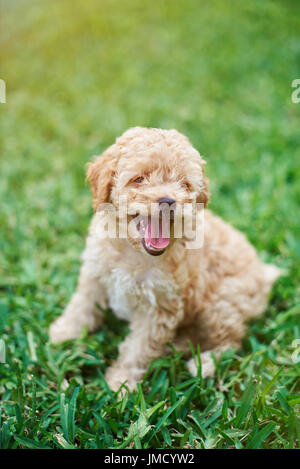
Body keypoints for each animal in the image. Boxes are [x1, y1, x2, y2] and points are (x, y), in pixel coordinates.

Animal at [48, 127, 280, 392]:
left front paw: (121, 384)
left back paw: (203, 364)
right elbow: (81, 305)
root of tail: (265, 275)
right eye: (139, 179)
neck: (133, 251)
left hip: (221, 303)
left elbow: (138, 349)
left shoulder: (159, 306)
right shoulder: (95, 274)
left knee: (232, 339)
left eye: (184, 184)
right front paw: (64, 332)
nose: (168, 201)